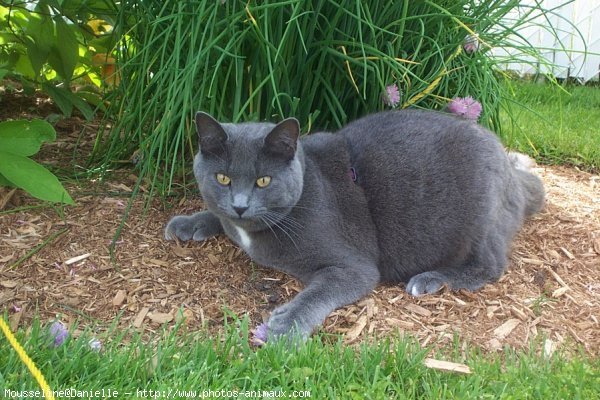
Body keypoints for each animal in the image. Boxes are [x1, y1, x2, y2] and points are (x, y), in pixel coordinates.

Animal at [163, 108, 544, 340]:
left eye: (263, 181)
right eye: (223, 178)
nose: (240, 206)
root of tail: (508, 166)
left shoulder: (354, 265)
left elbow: (320, 290)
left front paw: (285, 324)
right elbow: (218, 215)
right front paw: (189, 222)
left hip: (479, 212)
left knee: (490, 265)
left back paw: (430, 279)